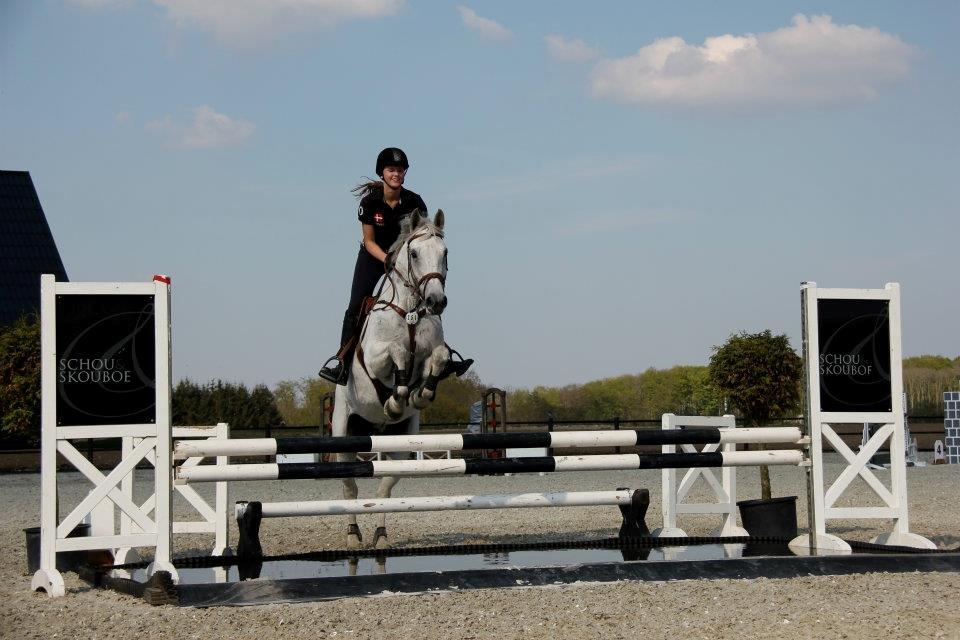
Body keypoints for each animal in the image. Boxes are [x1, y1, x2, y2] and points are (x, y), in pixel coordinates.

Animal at [332, 210, 452, 552]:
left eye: (445, 253)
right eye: (414, 254)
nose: (436, 301)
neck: (410, 311)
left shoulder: (432, 354)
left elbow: (438, 358)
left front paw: (418, 395)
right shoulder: (374, 358)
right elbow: (397, 352)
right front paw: (396, 399)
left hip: (401, 441)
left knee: (385, 488)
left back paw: (381, 536)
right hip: (343, 431)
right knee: (350, 487)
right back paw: (353, 536)